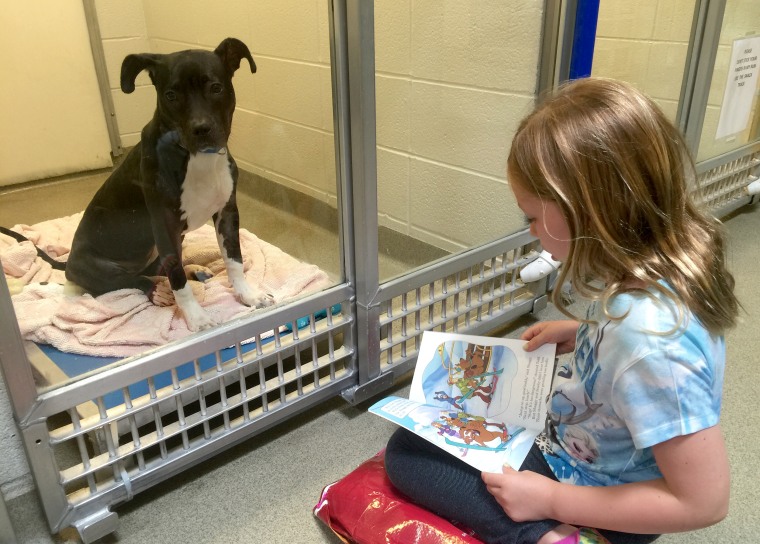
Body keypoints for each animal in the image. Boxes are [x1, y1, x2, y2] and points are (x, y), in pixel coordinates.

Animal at [65, 38, 274, 332]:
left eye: (216, 87)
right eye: (171, 95)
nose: (201, 129)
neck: (198, 158)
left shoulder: (227, 212)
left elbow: (234, 260)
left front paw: (248, 295)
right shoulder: (165, 224)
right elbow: (178, 280)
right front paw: (196, 318)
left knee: (156, 268)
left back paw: (193, 270)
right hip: (96, 266)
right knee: (124, 281)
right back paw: (156, 290)